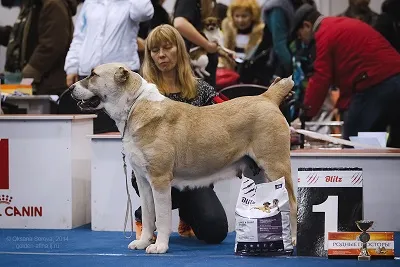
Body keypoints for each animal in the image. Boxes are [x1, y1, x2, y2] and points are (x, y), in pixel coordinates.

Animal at [71, 62, 296, 255]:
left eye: (93, 75)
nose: (71, 87)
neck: (134, 106)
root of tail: (266, 97)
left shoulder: (160, 180)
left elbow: (162, 217)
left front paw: (160, 247)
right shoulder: (144, 182)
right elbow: (148, 214)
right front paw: (143, 242)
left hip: (276, 166)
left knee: (292, 203)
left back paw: (292, 241)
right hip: (259, 173)